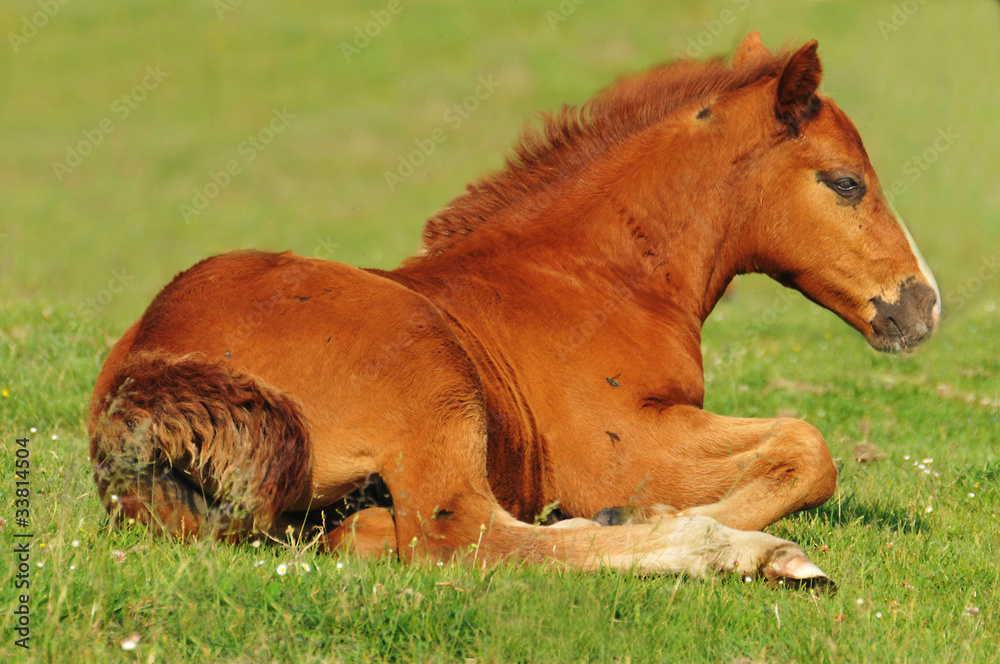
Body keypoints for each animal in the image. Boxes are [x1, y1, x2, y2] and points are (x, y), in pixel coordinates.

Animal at [88, 32, 939, 585]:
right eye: (846, 182)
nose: (922, 305)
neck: (593, 276)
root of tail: (151, 371)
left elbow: (796, 444)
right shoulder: (614, 449)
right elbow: (808, 446)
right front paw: (694, 520)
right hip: (430, 381)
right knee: (462, 538)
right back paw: (730, 550)